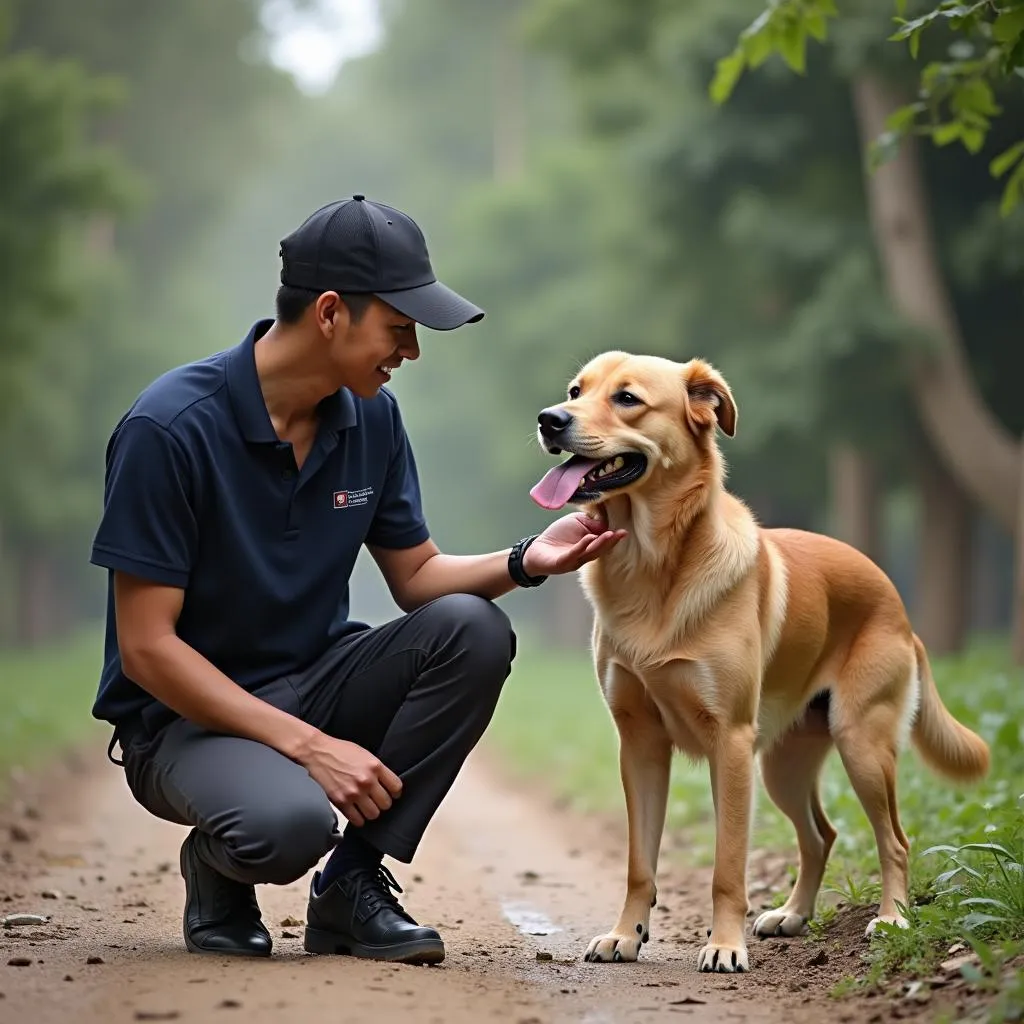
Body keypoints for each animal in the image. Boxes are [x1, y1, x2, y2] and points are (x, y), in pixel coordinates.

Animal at [532, 352, 987, 974]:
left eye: (627, 399)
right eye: (576, 391)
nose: (549, 419)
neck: (653, 566)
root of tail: (897, 603)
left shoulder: (729, 742)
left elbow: (728, 868)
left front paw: (724, 945)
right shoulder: (640, 743)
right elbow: (639, 863)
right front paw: (627, 934)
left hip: (861, 745)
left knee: (894, 839)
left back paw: (892, 919)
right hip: (783, 767)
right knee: (821, 836)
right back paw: (792, 915)